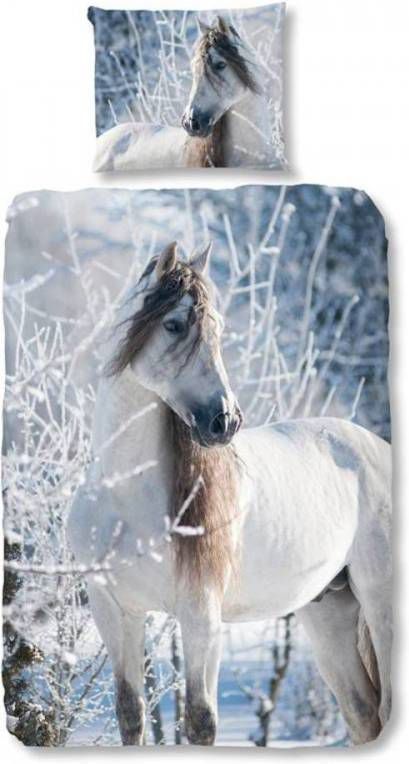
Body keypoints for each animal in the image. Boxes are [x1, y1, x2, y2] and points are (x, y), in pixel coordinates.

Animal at [67, 242, 392, 746]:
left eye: (218, 327)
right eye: (174, 324)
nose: (226, 421)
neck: (125, 495)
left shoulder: (201, 614)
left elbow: (201, 720)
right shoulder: (115, 611)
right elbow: (131, 713)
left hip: (382, 606)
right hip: (329, 614)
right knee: (363, 714)